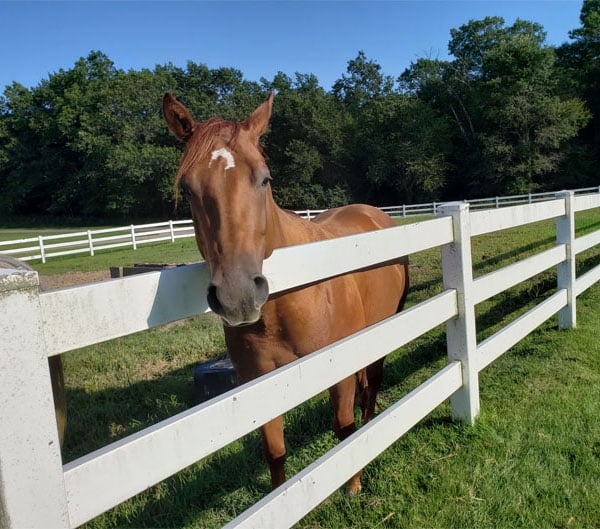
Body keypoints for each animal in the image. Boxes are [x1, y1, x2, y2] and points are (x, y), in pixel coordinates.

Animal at [162, 92, 410, 496]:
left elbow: (344, 428)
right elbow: (274, 450)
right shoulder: (260, 383)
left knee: (371, 387)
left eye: (264, 179)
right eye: (187, 189)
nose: (238, 295)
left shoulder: (337, 370)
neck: (288, 303)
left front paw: (352, 485)